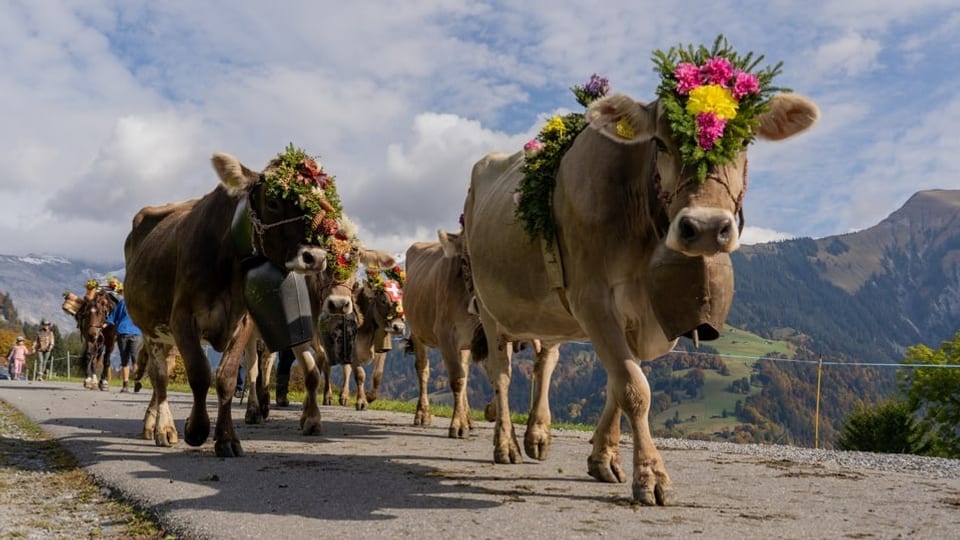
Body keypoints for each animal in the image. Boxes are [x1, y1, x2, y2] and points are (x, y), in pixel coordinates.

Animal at [462, 37, 820, 502]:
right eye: (663, 144)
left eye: (744, 141)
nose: (706, 227)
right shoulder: (593, 299)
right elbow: (634, 388)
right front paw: (650, 475)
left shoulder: (641, 316)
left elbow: (618, 382)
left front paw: (604, 458)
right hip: (489, 307)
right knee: (501, 375)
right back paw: (505, 444)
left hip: (549, 316)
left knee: (545, 364)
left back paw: (537, 436)